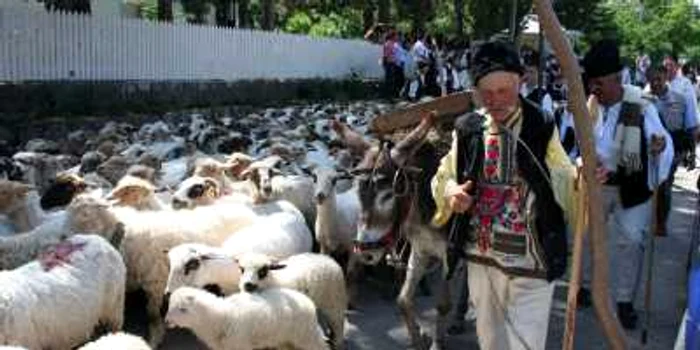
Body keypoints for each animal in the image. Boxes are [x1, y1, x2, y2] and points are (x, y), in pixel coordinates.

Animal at [164, 286, 330, 350]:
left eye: (183, 309)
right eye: (170, 305)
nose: (166, 321)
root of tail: (307, 300)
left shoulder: (240, 345)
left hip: (306, 335)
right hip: (285, 339)